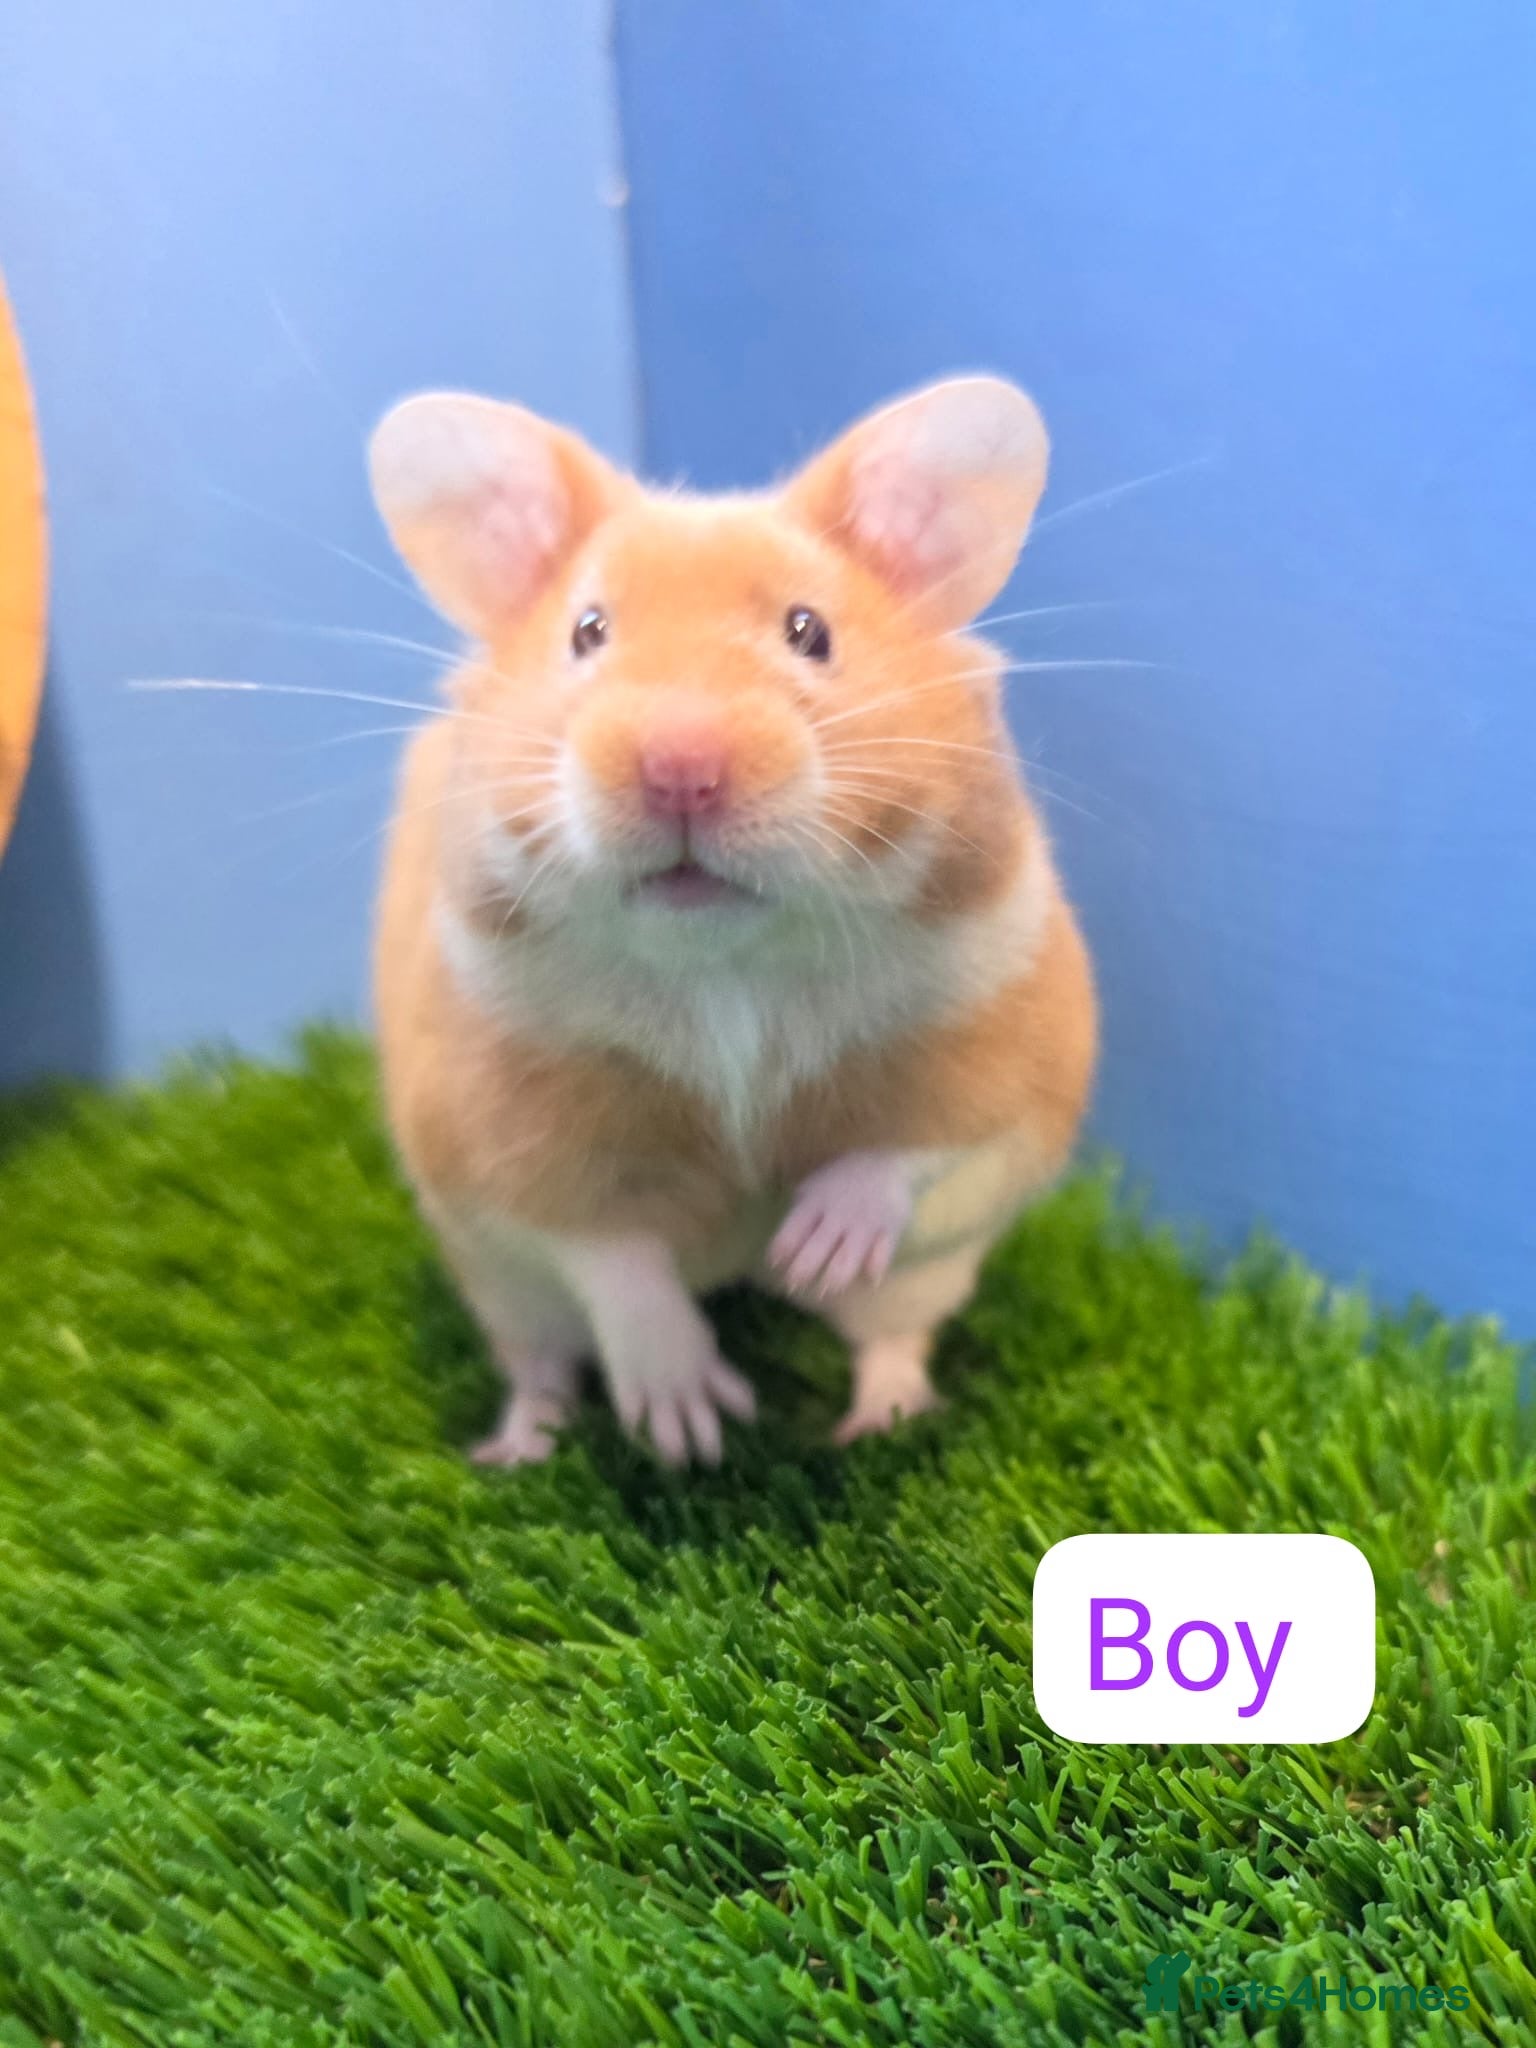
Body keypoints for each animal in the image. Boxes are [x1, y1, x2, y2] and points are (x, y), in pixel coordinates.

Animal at [369, 376, 1097, 1466]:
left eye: (809, 631)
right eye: (588, 631)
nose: (681, 767)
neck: (725, 966)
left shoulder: (1008, 1042)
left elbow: (911, 1149)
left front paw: (811, 1251)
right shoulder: (504, 1133)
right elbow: (612, 1259)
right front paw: (694, 1429)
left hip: (929, 1271)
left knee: (893, 1336)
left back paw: (873, 1422)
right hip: (502, 1291)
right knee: (543, 1361)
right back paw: (518, 1450)